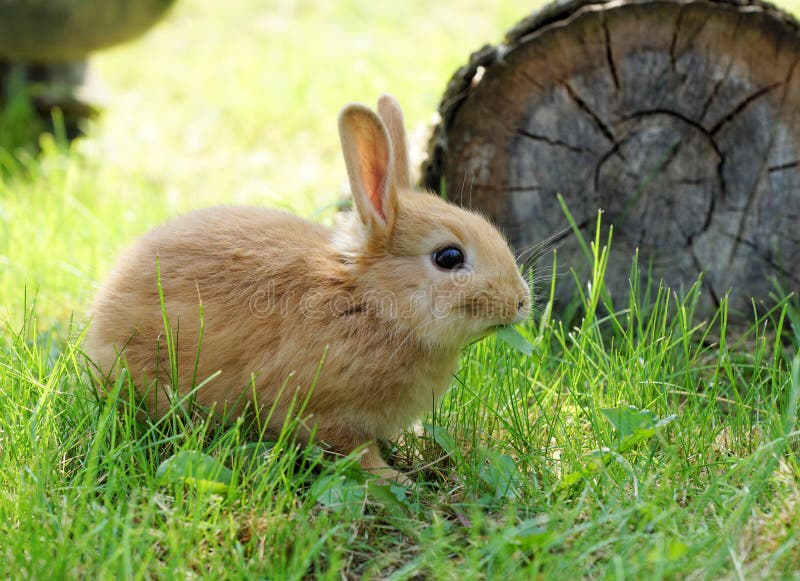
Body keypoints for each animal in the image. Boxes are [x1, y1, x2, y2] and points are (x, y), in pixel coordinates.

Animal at [86, 95, 532, 482]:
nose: (521, 302)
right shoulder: (327, 413)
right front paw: (396, 480)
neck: (371, 302)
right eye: (449, 257)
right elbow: (358, 453)